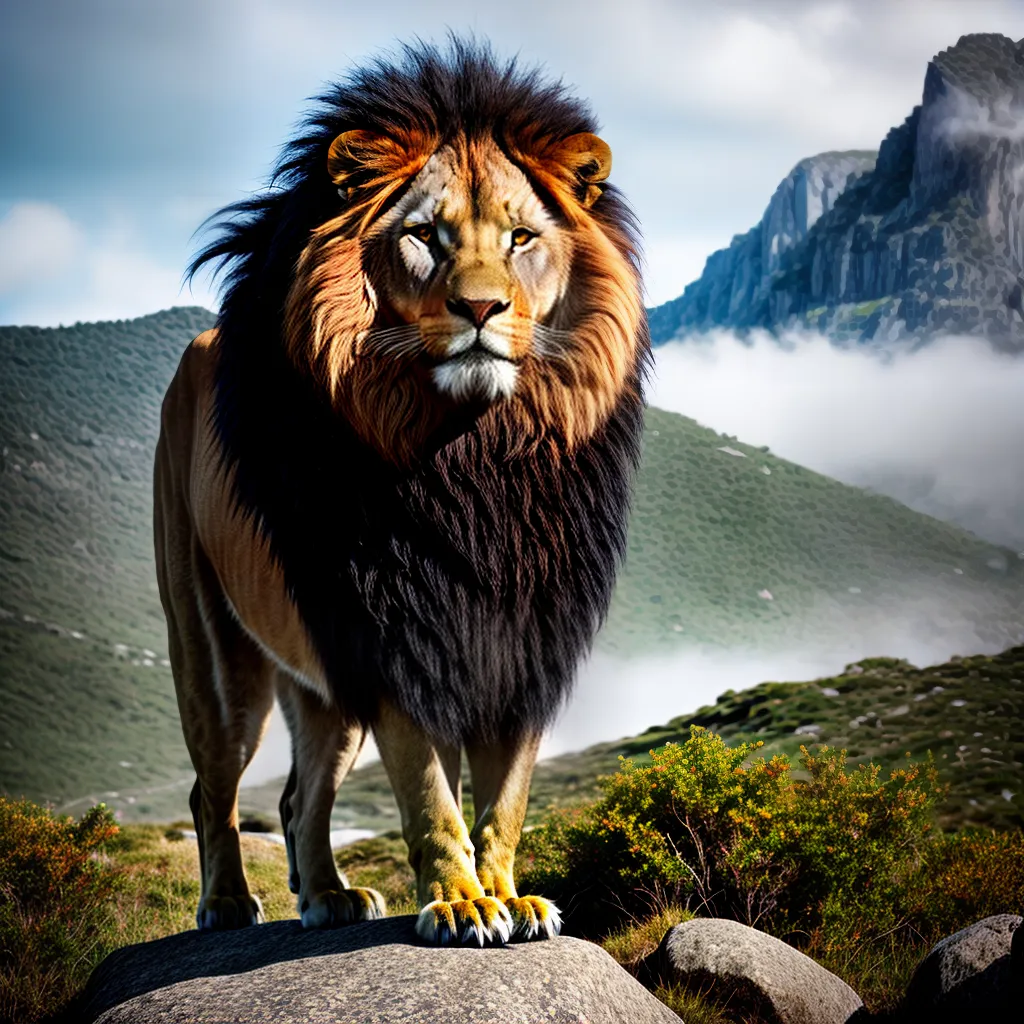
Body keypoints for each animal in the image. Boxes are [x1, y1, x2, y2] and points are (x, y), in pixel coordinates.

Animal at [154, 39, 649, 947]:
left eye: (521, 237)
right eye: (425, 236)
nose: (481, 307)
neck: (479, 458)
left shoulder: (518, 642)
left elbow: (504, 799)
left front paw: (511, 896)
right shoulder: (391, 638)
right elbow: (430, 795)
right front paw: (461, 903)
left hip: (321, 682)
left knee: (298, 794)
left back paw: (327, 896)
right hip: (215, 654)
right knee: (215, 788)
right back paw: (229, 903)